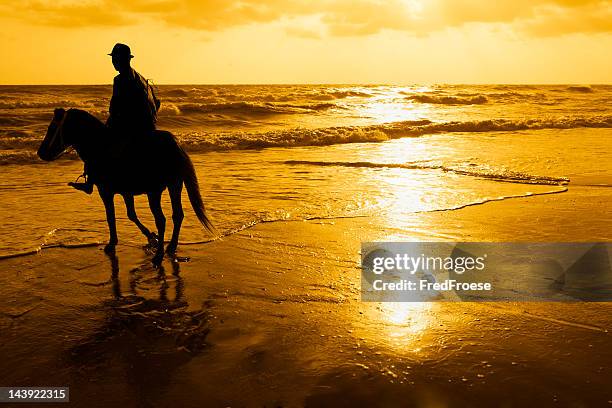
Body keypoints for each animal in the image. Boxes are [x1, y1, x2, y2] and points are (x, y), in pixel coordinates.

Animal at [37, 107, 215, 262]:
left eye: (52, 128)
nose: (41, 153)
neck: (99, 146)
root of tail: (175, 146)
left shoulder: (105, 191)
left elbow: (111, 216)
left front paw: (112, 243)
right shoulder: (126, 192)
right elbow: (131, 215)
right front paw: (152, 237)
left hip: (154, 192)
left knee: (162, 219)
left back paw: (159, 255)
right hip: (175, 185)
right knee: (177, 215)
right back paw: (170, 246)